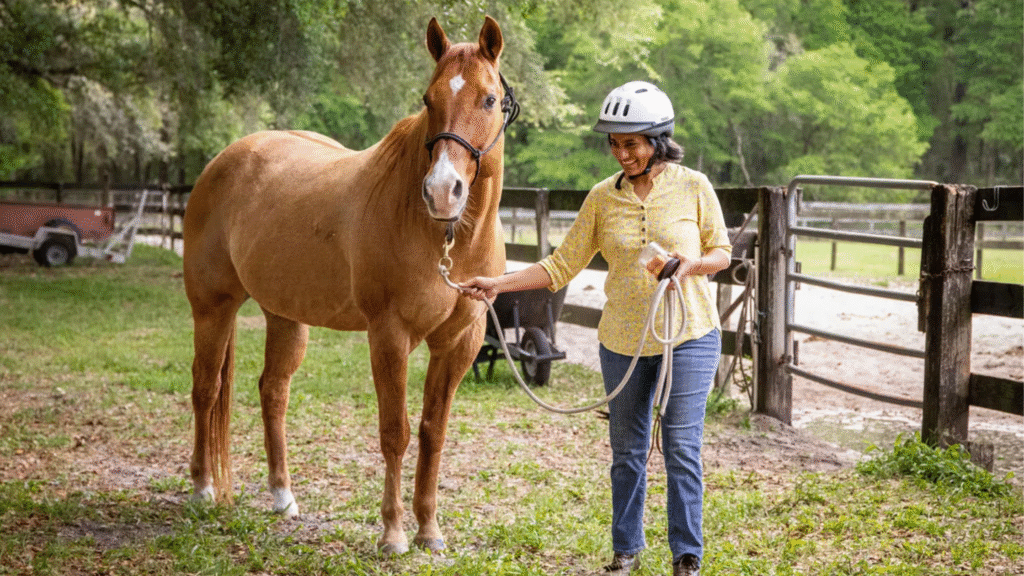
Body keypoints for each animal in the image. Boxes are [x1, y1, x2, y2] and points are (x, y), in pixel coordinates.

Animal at [182, 16, 516, 555]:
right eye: (428, 99)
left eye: (489, 99)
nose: (441, 192)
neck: (445, 237)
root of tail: (224, 160)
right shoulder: (389, 336)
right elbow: (395, 432)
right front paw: (394, 533)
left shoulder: (458, 344)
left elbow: (433, 432)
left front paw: (430, 530)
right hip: (212, 308)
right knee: (205, 390)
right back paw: (202, 489)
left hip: (285, 316)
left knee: (273, 391)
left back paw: (283, 496)